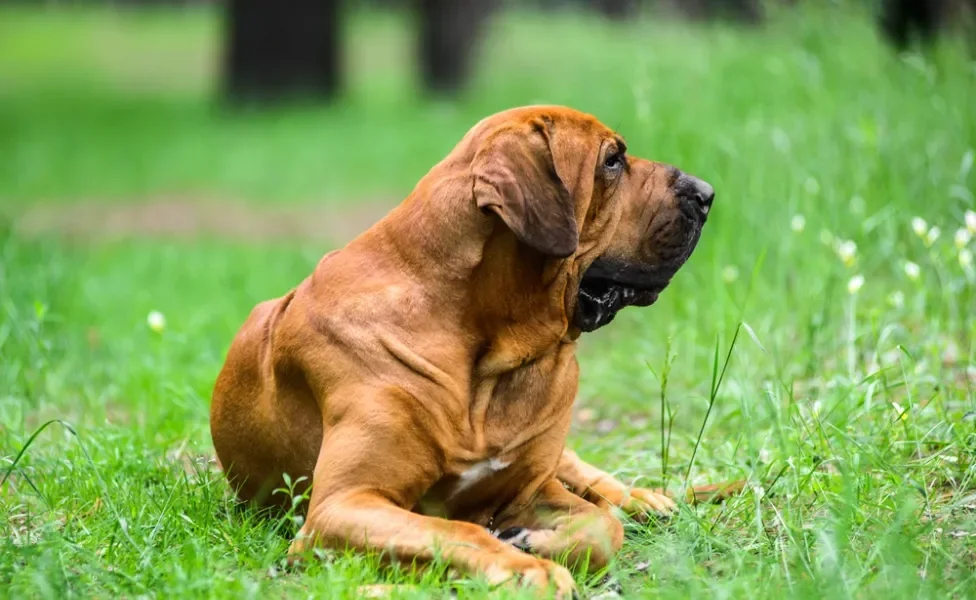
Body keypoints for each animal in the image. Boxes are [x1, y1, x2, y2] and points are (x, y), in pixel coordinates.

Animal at [210, 105, 720, 596]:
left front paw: (537, 542)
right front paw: (526, 567)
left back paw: (641, 498)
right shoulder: (343, 504)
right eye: (612, 160)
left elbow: (602, 528)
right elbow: (456, 530)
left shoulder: (530, 489)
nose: (707, 193)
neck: (485, 347)